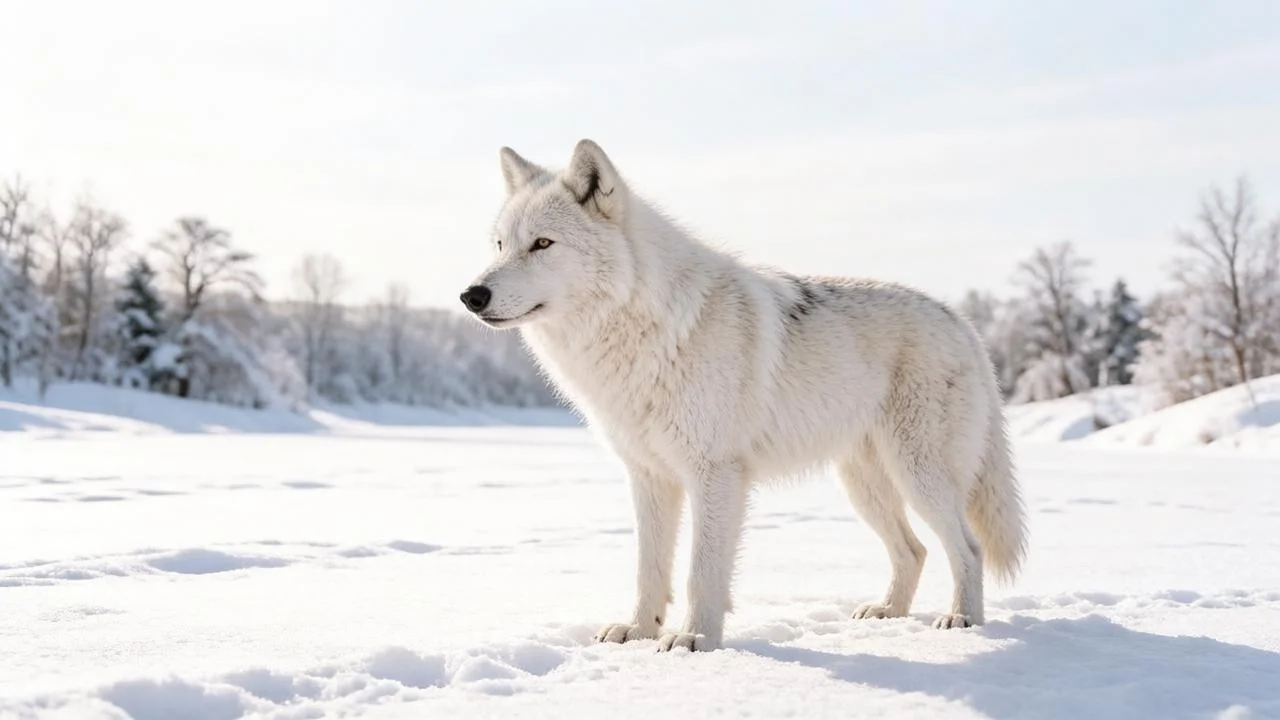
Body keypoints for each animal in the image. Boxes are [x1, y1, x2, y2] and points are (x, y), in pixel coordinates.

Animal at [460, 139, 1028, 652]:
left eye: (542, 244)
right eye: (499, 245)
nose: (471, 295)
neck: (645, 328)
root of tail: (964, 325)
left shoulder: (715, 475)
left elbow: (701, 571)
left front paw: (694, 640)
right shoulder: (648, 478)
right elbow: (649, 569)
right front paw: (639, 632)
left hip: (918, 475)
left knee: (967, 548)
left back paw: (962, 621)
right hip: (863, 486)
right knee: (913, 551)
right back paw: (888, 612)